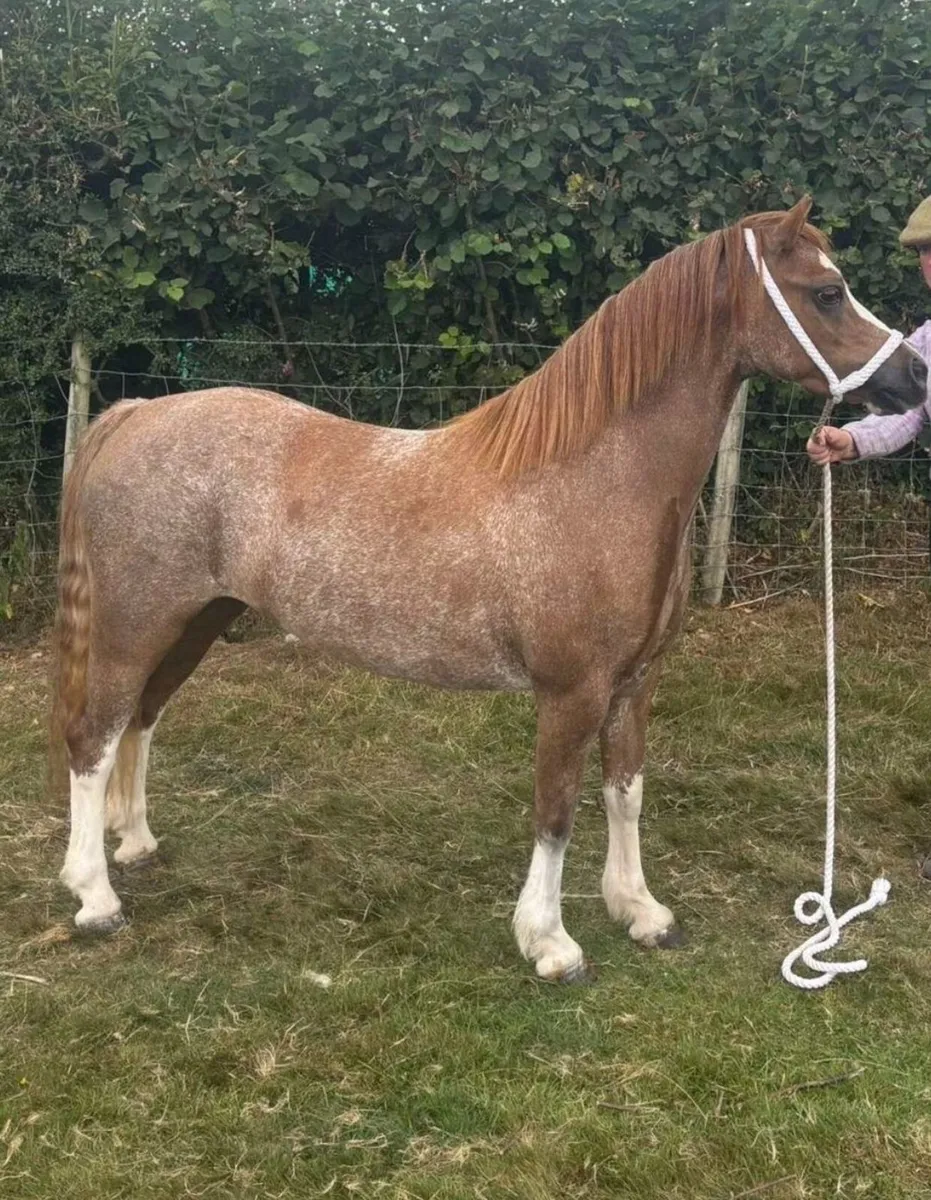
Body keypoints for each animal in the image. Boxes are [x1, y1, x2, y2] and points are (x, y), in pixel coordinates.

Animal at [51, 196, 927, 982]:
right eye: (827, 292)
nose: (915, 374)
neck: (600, 477)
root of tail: (134, 413)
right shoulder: (571, 691)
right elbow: (555, 812)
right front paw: (549, 943)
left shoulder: (635, 682)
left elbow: (625, 793)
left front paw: (639, 912)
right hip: (136, 623)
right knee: (93, 737)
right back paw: (94, 896)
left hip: (197, 620)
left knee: (141, 719)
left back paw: (136, 845)